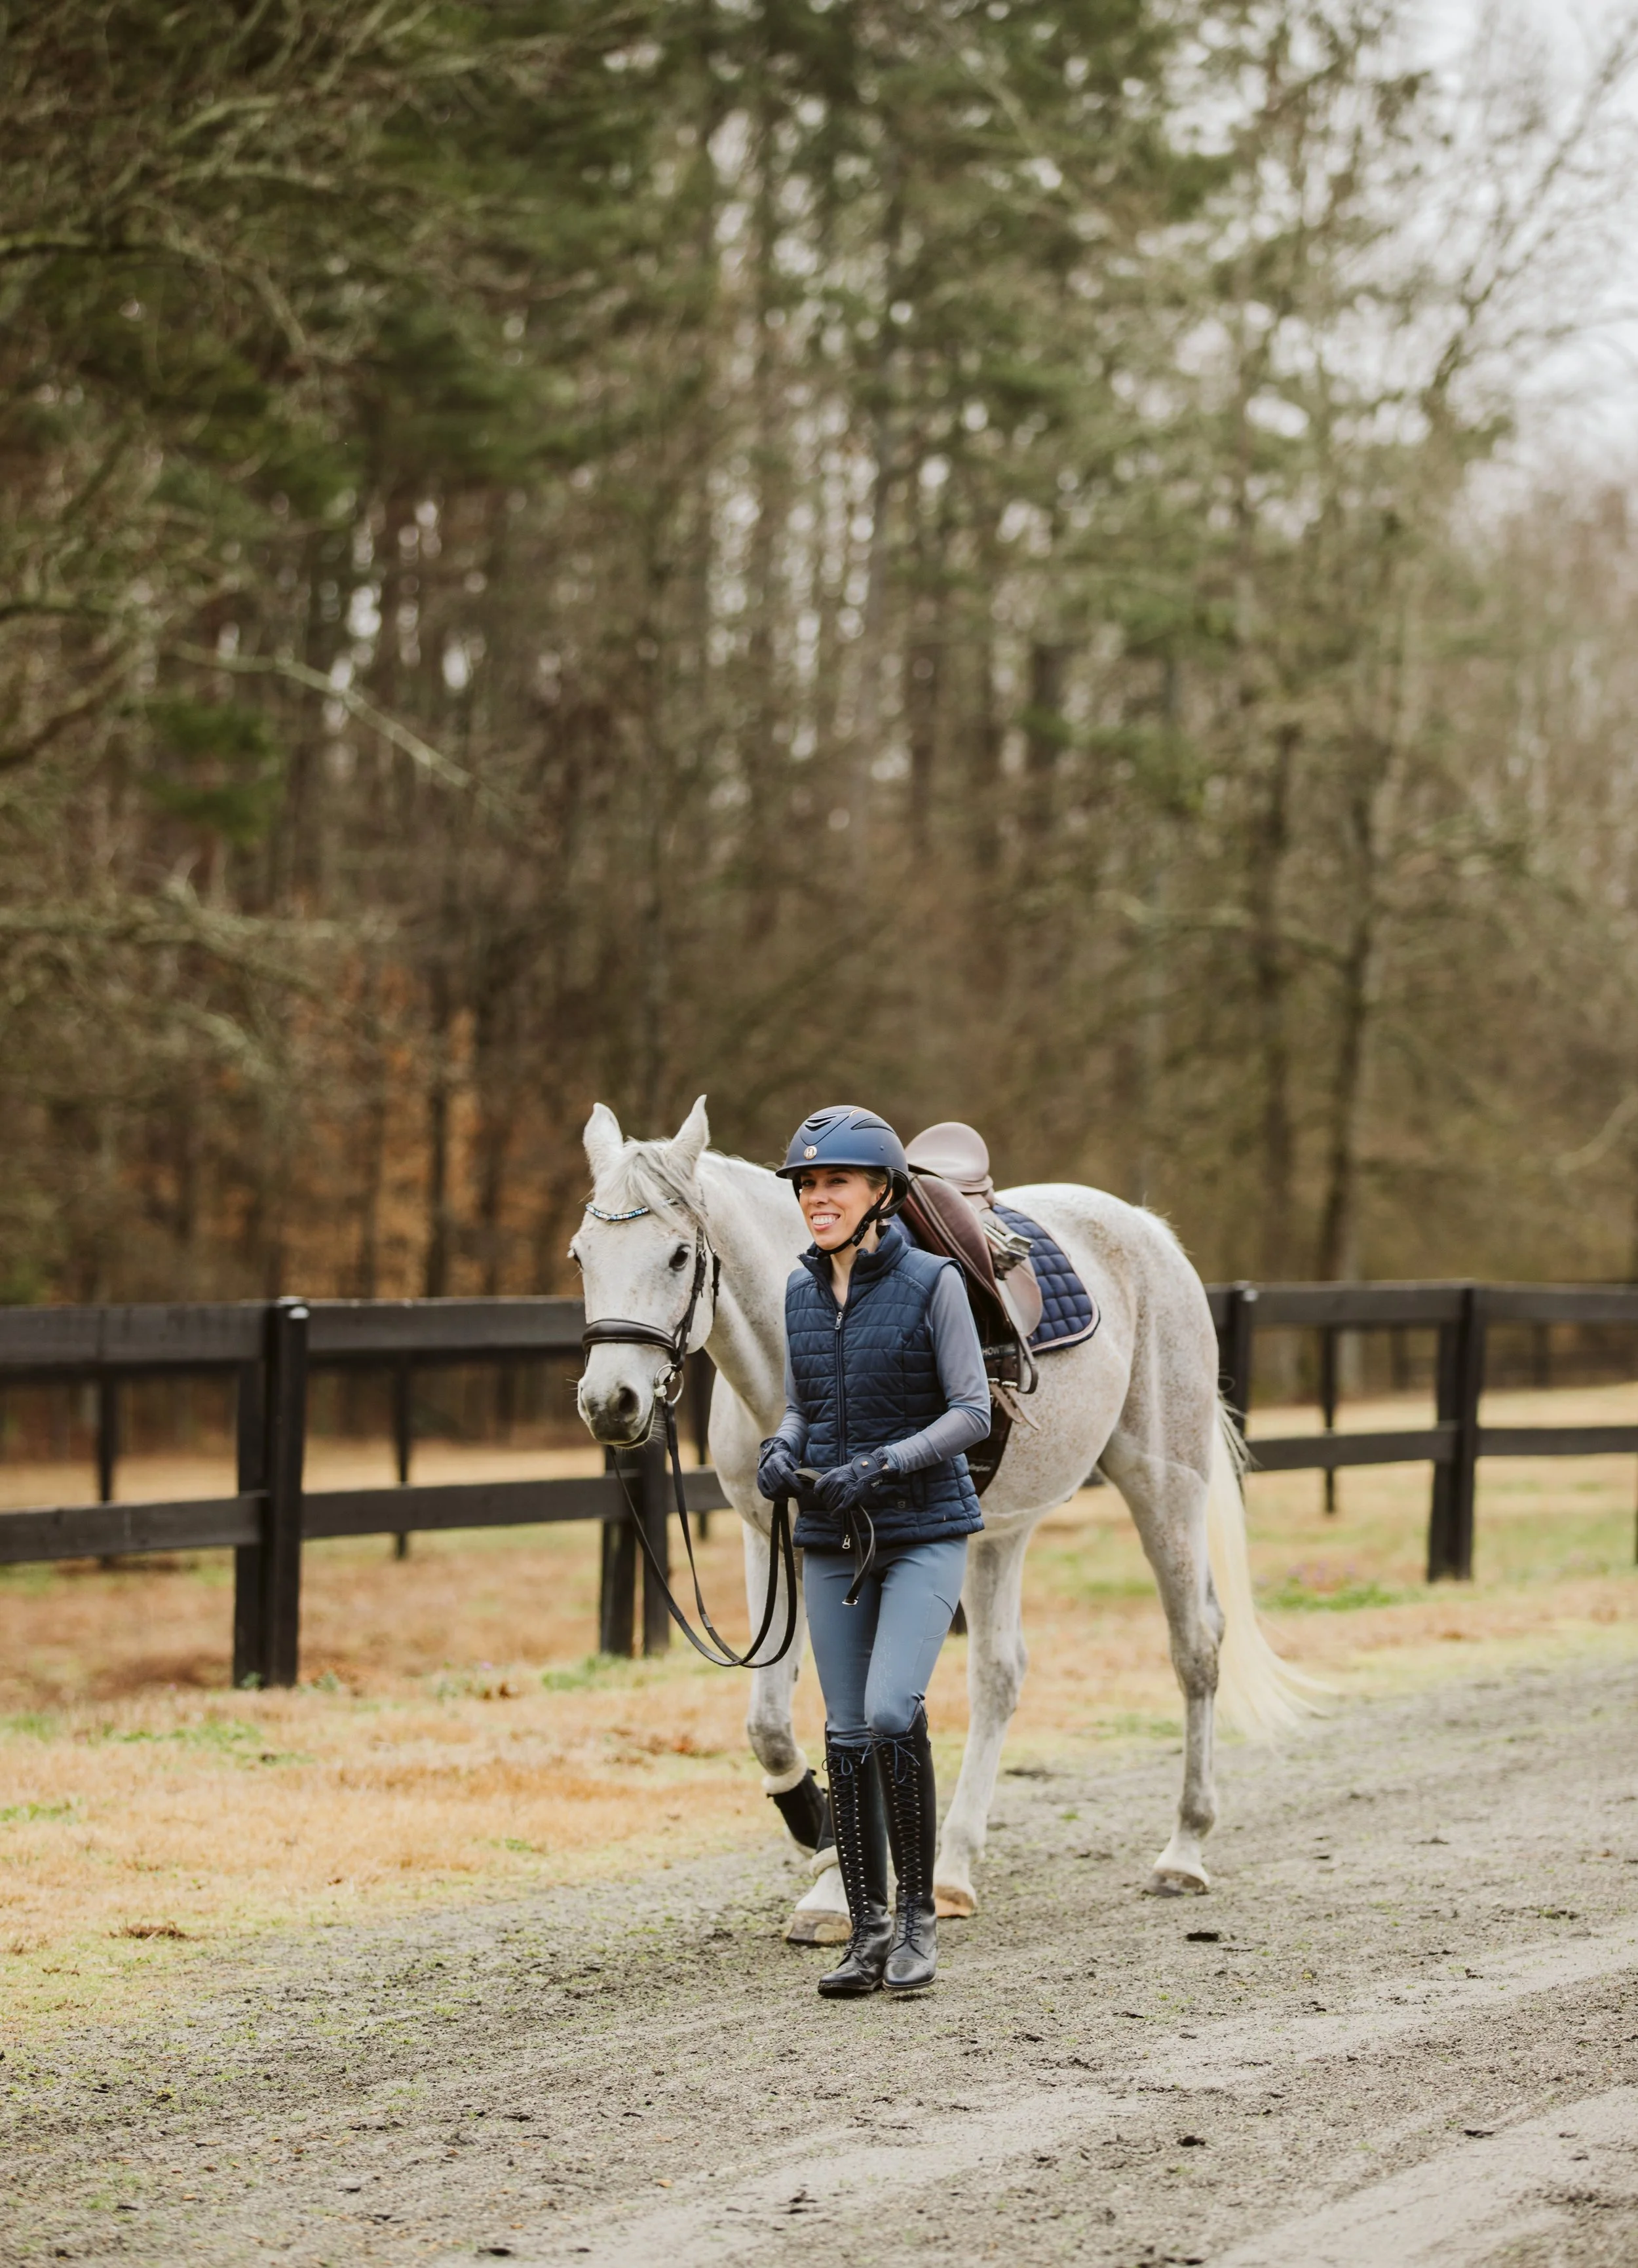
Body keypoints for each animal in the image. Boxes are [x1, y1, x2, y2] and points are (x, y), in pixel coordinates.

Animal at [571, 1095, 1309, 1937]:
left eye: (675, 1257)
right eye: (580, 1256)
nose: (609, 1403)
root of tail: (1147, 1231)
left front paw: (837, 1872)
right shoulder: (772, 1539)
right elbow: (772, 1723)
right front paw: (821, 1845)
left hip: (1164, 1484)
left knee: (1195, 1648)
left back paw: (1183, 1849)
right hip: (1001, 1532)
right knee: (999, 1675)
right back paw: (953, 1867)